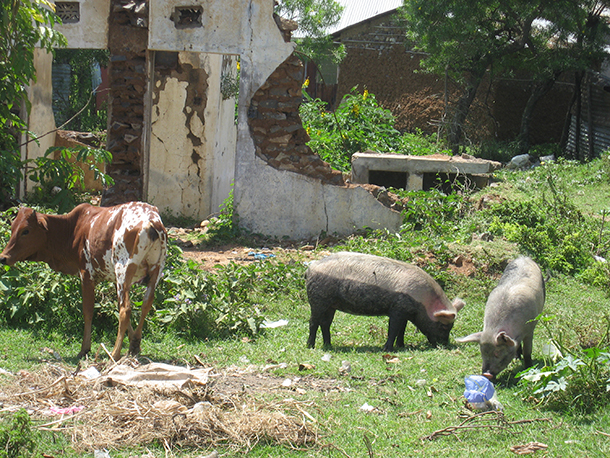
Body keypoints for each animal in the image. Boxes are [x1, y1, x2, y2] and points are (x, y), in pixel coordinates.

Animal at [0, 202, 166, 360]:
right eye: (13, 227)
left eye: (25, 231)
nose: (3, 257)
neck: (74, 228)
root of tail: (151, 221)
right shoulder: (113, 277)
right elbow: (118, 307)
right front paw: (133, 343)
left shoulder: (87, 275)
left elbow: (88, 311)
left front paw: (84, 348)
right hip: (155, 270)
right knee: (145, 304)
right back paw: (134, 343)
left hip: (123, 269)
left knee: (126, 309)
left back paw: (114, 354)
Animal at [302, 252, 464, 348]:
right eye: (443, 326)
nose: (445, 344)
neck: (423, 301)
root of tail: (310, 268)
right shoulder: (397, 309)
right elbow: (393, 329)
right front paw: (387, 348)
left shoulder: (405, 311)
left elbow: (402, 329)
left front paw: (401, 346)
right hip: (318, 299)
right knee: (313, 322)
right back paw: (310, 346)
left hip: (331, 305)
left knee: (325, 323)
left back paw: (328, 346)